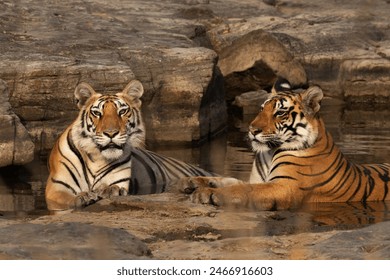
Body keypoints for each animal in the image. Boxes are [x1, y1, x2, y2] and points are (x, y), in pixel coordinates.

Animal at [46, 80, 216, 211]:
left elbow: (113, 187)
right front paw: (84, 196)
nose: (111, 133)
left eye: (122, 112)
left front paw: (109, 190)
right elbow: (66, 198)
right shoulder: (56, 188)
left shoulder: (120, 180)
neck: (97, 157)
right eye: (97, 113)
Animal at [179, 79, 390, 210]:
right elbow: (227, 179)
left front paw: (206, 193)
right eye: (262, 109)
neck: (268, 153)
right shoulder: (259, 180)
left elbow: (240, 189)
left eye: (280, 113)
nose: (252, 129)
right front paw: (192, 181)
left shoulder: (284, 186)